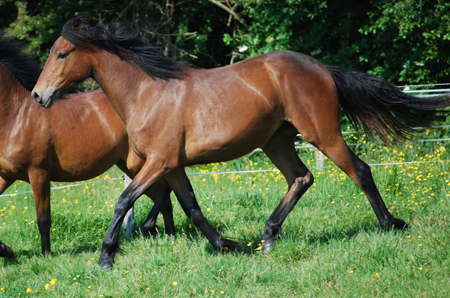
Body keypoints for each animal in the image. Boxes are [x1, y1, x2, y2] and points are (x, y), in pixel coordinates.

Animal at [0, 35, 175, 258]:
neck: (17, 117)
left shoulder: (38, 172)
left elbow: (43, 219)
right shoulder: (6, 175)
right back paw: (169, 235)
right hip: (129, 166)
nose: (38, 96)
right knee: (162, 196)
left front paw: (46, 255)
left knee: (164, 191)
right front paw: (6, 250)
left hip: (140, 165)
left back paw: (158, 231)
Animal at [31, 13, 450, 270]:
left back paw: (389, 224)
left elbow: (123, 201)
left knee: (359, 171)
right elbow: (193, 209)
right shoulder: (173, 166)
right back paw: (267, 237)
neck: (149, 93)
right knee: (301, 178)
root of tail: (320, 67)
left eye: (62, 53)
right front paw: (227, 245)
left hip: (323, 133)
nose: (38, 96)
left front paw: (106, 257)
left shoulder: (159, 162)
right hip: (276, 141)